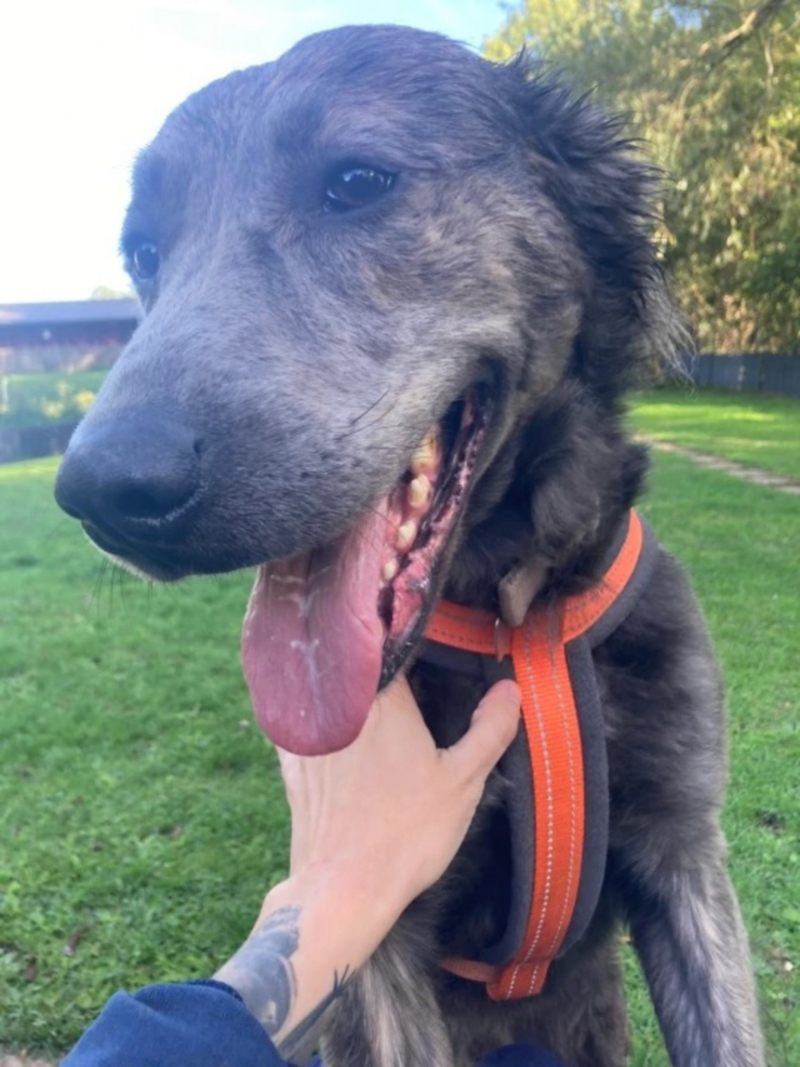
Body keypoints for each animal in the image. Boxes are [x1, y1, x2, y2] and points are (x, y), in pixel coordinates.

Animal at [53, 25, 768, 1067]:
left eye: (357, 181)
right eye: (146, 251)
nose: (106, 491)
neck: (517, 618)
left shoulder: (685, 861)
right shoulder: (384, 936)